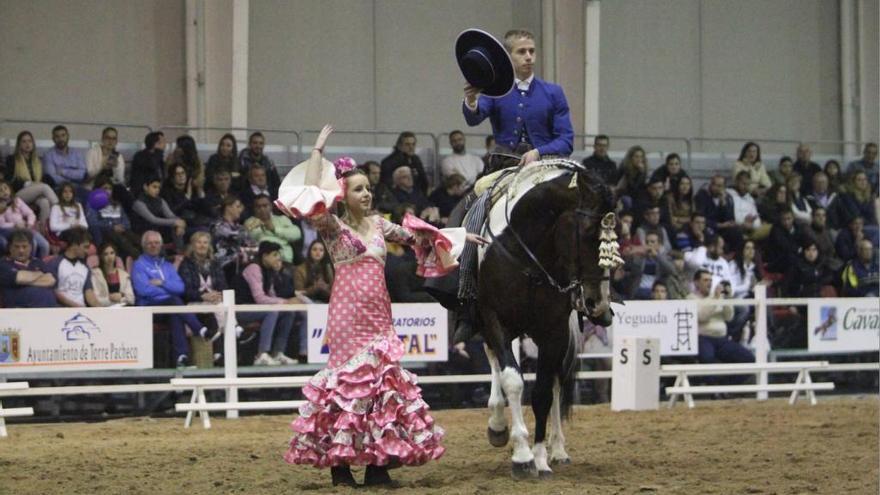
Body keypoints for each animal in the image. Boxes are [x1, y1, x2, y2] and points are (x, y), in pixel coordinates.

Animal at [474, 160, 620, 480]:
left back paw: (558, 449)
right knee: (495, 361)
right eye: (587, 231)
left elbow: (542, 393)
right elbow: (512, 380)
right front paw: (521, 455)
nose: (600, 305)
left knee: (555, 383)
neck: (525, 257)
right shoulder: (493, 319)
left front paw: (540, 457)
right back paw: (498, 425)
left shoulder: (554, 331)